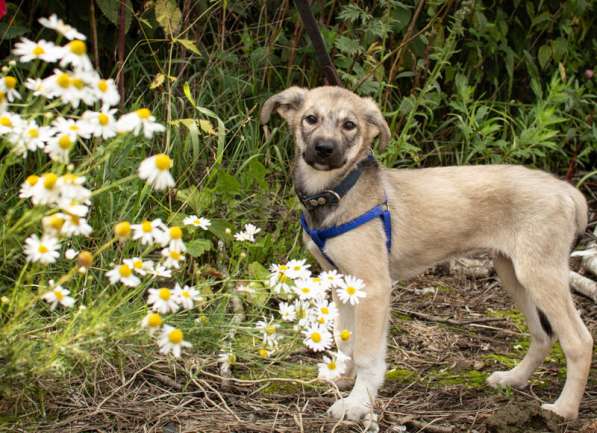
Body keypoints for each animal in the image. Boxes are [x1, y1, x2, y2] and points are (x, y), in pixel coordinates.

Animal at [260, 86, 592, 420]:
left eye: (349, 125)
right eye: (310, 119)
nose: (324, 149)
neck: (337, 192)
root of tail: (564, 189)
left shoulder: (374, 287)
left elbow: (367, 353)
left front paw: (357, 403)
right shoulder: (343, 283)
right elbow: (346, 339)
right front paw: (341, 376)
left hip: (540, 274)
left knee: (579, 341)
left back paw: (564, 409)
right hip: (513, 274)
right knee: (543, 335)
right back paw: (514, 378)